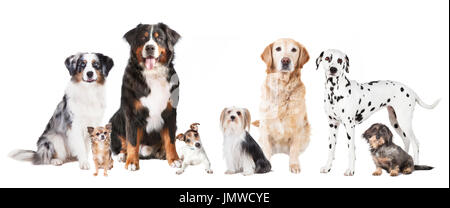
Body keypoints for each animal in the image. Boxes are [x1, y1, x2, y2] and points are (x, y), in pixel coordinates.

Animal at [110, 22, 182, 171]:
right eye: (143, 38)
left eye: (159, 38)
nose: (149, 47)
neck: (152, 75)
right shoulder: (132, 114)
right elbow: (132, 141)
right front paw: (132, 162)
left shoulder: (170, 113)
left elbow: (170, 140)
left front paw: (174, 159)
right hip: (115, 121)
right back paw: (123, 155)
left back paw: (161, 152)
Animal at [316, 48, 440, 176]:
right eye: (327, 58)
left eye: (340, 60)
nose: (333, 69)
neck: (335, 91)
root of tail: (411, 91)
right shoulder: (332, 125)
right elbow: (331, 149)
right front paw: (327, 167)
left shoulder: (350, 126)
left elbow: (351, 150)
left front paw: (350, 170)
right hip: (395, 122)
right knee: (406, 140)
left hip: (404, 122)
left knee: (415, 143)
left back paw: (414, 165)